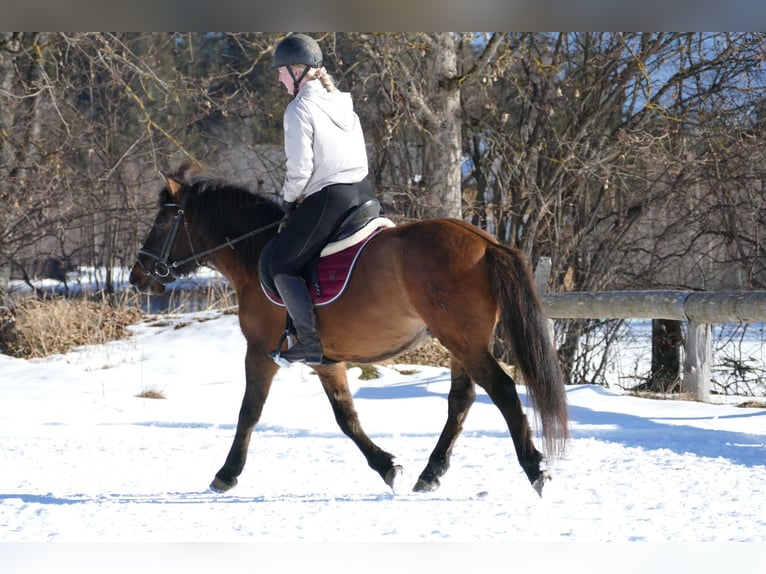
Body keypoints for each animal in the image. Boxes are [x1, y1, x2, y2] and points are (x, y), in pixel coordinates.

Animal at [129, 163, 568, 500]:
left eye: (163, 220)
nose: (137, 276)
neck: (254, 255)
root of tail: (485, 240)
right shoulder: (326, 359)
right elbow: (346, 417)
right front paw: (387, 466)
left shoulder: (259, 351)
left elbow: (249, 412)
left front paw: (226, 474)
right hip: (460, 343)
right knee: (461, 401)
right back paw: (430, 474)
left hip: (464, 341)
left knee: (503, 390)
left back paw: (536, 471)